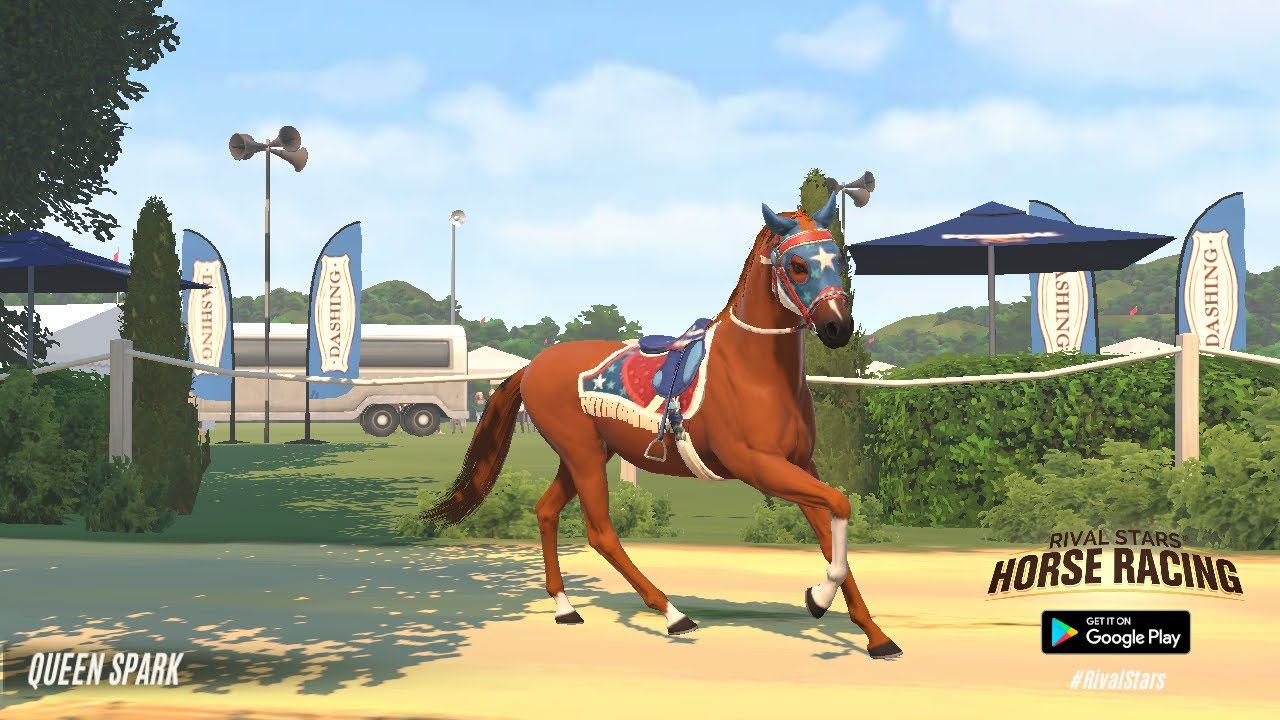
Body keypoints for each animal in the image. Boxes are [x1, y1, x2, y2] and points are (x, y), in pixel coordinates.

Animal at [425, 191, 902, 660]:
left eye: (839, 258)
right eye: (798, 264)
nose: (838, 326)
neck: (753, 371)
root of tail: (532, 366)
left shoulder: (801, 465)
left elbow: (831, 531)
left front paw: (875, 635)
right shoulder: (760, 466)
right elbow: (841, 505)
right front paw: (818, 597)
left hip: (584, 455)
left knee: (546, 510)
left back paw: (565, 607)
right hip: (582, 454)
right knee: (601, 531)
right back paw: (672, 613)